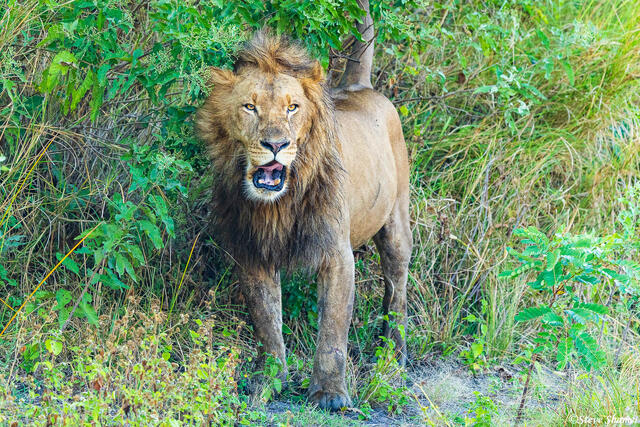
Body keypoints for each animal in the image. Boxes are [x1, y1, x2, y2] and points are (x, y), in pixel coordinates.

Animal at [196, 10, 411, 411]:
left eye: (292, 107)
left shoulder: (337, 255)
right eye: (250, 106)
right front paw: (269, 381)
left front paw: (329, 394)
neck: (279, 206)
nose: (275, 144)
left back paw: (393, 358)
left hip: (396, 224)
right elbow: (267, 322)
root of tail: (359, 86)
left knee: (397, 288)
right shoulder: (252, 254)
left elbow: (333, 330)